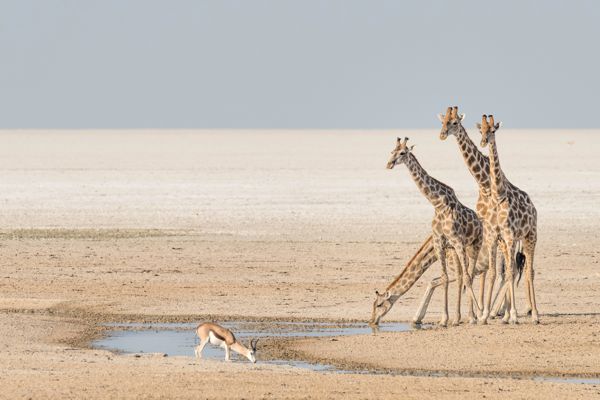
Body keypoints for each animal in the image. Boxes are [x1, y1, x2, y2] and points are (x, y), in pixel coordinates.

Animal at [384, 137, 482, 324]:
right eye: (392, 151)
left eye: (403, 153)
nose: (389, 164)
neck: (438, 204)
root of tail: (480, 221)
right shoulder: (440, 242)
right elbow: (444, 278)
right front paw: (444, 319)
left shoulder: (457, 241)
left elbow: (466, 277)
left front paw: (478, 315)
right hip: (457, 249)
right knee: (462, 276)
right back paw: (459, 318)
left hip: (474, 245)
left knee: (470, 275)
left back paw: (475, 316)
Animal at [436, 106, 528, 322]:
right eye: (442, 121)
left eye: (454, 123)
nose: (442, 135)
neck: (485, 184)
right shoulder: (486, 227)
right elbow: (482, 269)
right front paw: (477, 313)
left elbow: (490, 270)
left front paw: (481, 313)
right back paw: (500, 310)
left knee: (512, 268)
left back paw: (505, 311)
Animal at [476, 115, 540, 324]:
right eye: (481, 131)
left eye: (493, 130)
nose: (483, 141)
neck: (497, 196)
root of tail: (533, 207)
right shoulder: (494, 237)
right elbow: (494, 272)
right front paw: (485, 315)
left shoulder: (510, 236)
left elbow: (511, 272)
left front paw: (513, 315)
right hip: (510, 242)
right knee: (513, 269)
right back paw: (505, 315)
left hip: (530, 236)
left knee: (529, 271)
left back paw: (535, 315)